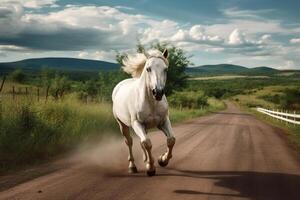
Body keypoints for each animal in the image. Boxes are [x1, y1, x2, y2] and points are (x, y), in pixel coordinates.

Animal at [112, 48, 176, 177]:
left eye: (165, 69)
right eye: (148, 68)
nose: (158, 92)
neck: (152, 102)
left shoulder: (163, 121)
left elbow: (171, 140)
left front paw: (162, 160)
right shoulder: (137, 123)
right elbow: (147, 143)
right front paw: (150, 168)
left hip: (144, 127)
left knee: (141, 142)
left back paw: (145, 160)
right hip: (122, 124)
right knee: (129, 142)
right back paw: (132, 167)